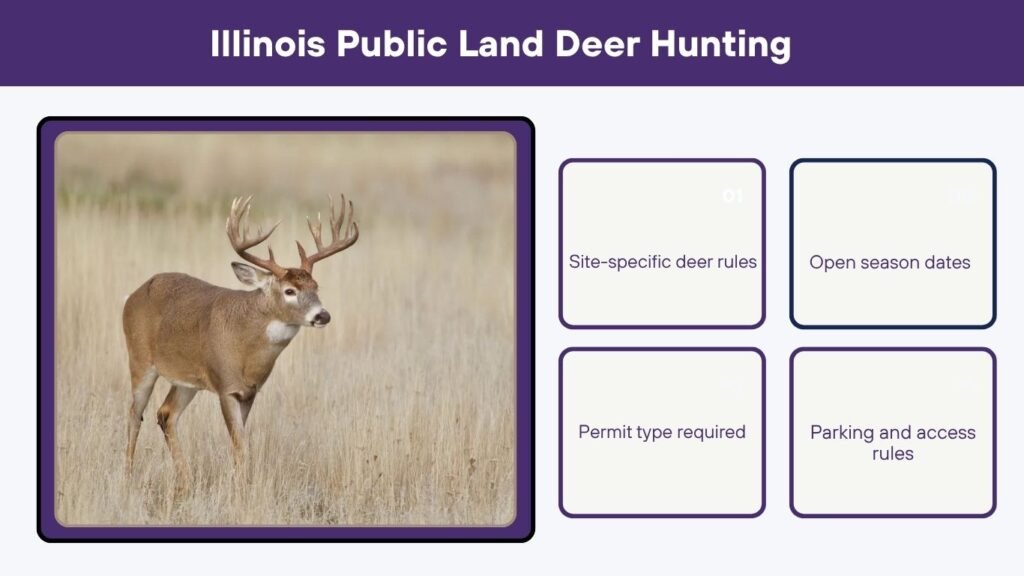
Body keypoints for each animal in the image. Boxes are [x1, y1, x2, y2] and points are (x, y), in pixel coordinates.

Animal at [123, 195, 359, 484]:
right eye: (289, 291)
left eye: (315, 287)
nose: (322, 315)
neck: (247, 348)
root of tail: (132, 296)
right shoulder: (227, 386)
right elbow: (241, 446)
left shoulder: (249, 392)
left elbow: (241, 446)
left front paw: (238, 482)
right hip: (140, 359)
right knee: (135, 414)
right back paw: (128, 475)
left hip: (186, 379)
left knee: (166, 414)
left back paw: (186, 480)